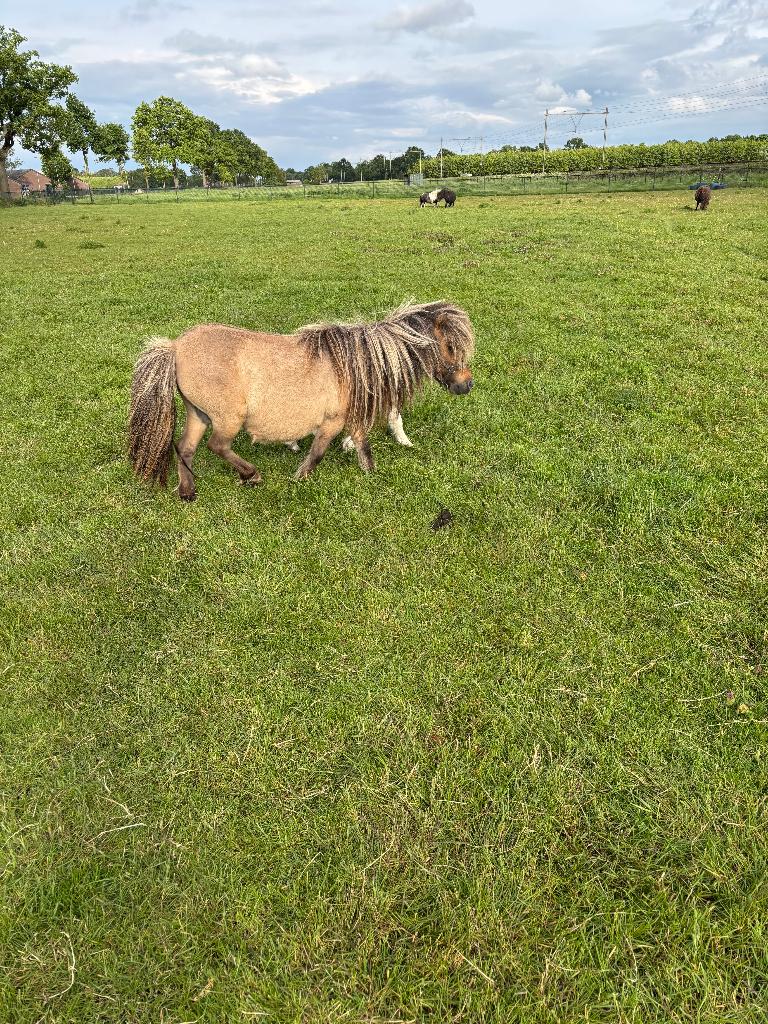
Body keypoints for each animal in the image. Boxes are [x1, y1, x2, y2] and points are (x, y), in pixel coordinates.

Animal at [128, 301, 475, 501]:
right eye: (449, 346)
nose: (467, 384)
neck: (353, 364)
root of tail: (175, 347)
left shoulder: (350, 421)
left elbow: (363, 448)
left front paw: (370, 475)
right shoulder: (331, 422)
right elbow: (318, 452)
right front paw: (300, 478)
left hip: (198, 413)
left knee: (185, 448)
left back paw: (188, 492)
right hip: (227, 418)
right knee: (217, 446)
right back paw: (251, 475)